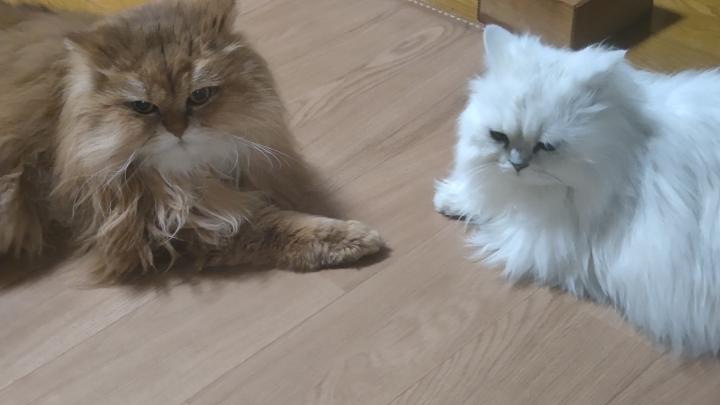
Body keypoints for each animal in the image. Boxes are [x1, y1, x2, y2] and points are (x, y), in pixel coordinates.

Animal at [0, 0, 385, 279]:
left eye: (200, 96)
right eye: (143, 107)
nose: (177, 129)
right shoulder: (155, 226)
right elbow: (274, 226)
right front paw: (352, 238)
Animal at [434, 25, 720, 356]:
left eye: (546, 146)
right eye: (499, 137)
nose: (517, 164)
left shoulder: (551, 237)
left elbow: (501, 218)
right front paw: (451, 198)